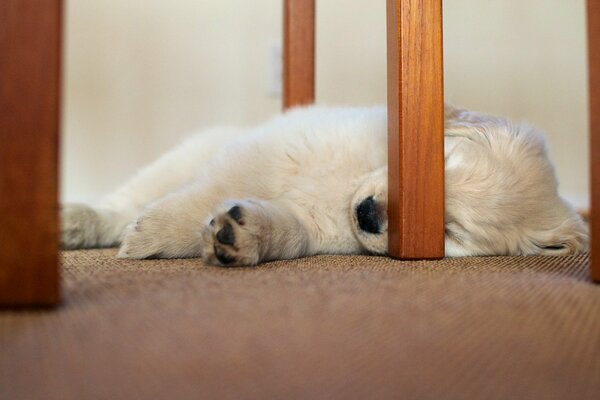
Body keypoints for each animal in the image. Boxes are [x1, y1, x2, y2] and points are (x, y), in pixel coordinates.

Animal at [59, 104, 584, 266]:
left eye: (449, 231)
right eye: (439, 167)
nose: (368, 214)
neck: (349, 186)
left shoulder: (313, 227)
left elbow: (285, 231)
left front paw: (238, 237)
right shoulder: (264, 153)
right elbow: (203, 196)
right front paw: (156, 234)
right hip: (187, 155)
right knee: (124, 202)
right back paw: (75, 221)